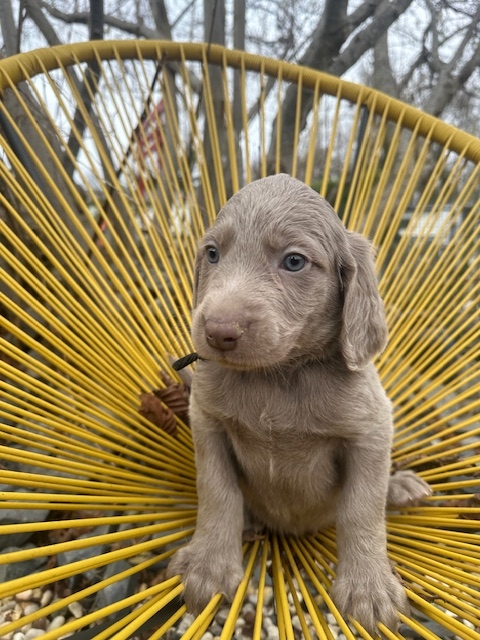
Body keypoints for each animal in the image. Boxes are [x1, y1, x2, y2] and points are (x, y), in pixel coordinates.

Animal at [169, 175, 432, 636]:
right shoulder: (206, 421)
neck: (278, 376)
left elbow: (362, 507)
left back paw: (400, 486)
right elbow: (217, 492)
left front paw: (368, 589)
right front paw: (209, 567)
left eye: (294, 262)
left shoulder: (371, 430)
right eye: (213, 253)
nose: (218, 330)